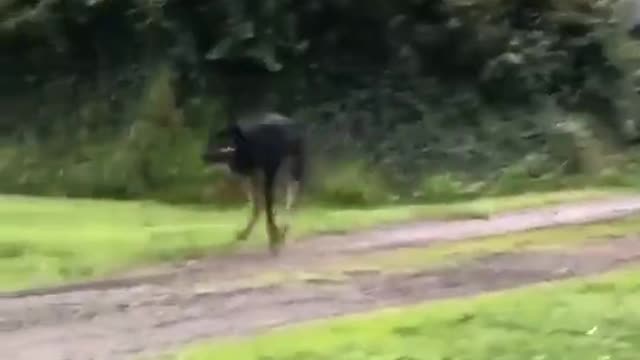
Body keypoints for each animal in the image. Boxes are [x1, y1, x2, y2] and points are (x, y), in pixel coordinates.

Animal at [204, 112, 306, 256]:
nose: (206, 156)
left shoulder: (267, 169)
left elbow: (267, 203)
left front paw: (275, 239)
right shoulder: (253, 174)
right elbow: (259, 204)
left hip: (289, 167)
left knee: (287, 195)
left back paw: (279, 233)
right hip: (281, 170)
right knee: (279, 197)